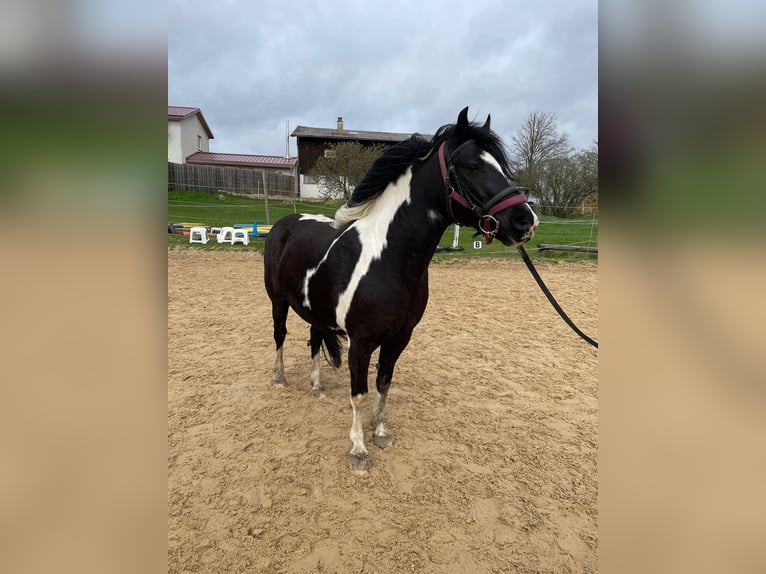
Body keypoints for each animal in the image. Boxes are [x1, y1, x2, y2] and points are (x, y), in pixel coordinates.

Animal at [264, 108, 540, 476]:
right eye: (472, 166)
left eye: (500, 165)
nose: (526, 220)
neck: (390, 260)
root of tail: (284, 223)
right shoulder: (361, 342)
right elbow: (359, 393)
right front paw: (358, 450)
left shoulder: (399, 338)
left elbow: (384, 382)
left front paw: (380, 432)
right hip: (277, 301)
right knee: (280, 335)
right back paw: (280, 379)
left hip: (315, 311)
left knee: (313, 339)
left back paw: (317, 386)